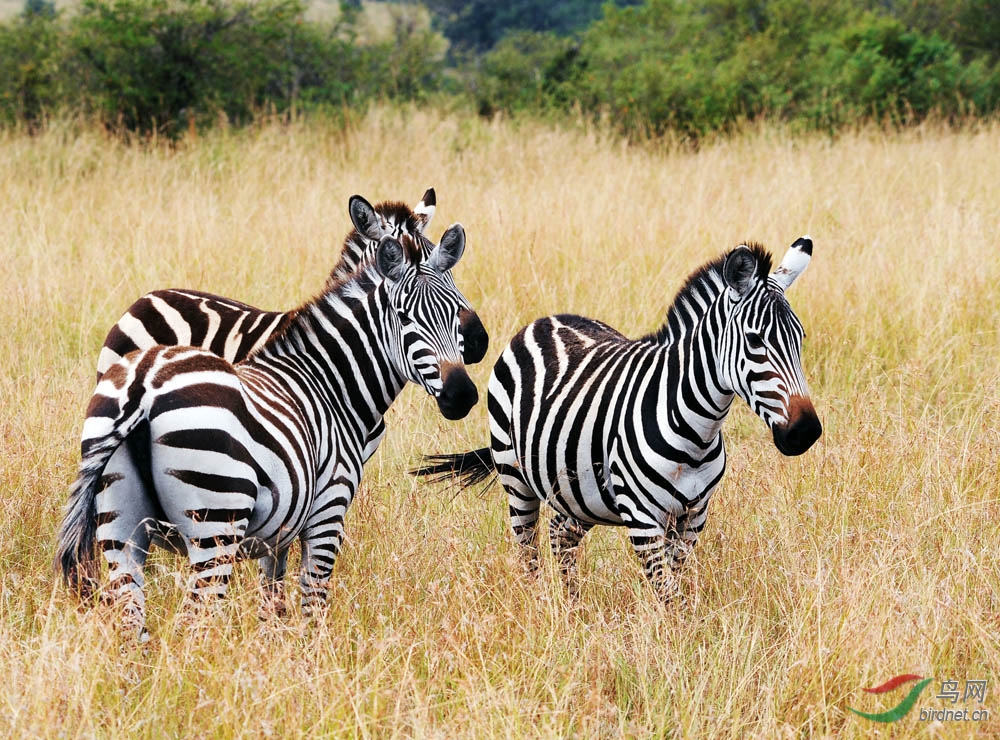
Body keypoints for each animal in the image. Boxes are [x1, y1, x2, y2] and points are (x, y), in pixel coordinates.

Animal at [57, 218, 480, 636]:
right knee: (196, 622)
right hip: (215, 523)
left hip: (120, 530)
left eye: (455, 311)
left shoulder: (280, 528)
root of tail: (143, 386)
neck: (329, 384)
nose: (462, 395)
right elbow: (313, 604)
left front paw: (270, 647)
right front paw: (312, 654)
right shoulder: (328, 510)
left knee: (133, 624)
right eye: (404, 318)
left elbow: (272, 599)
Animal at [412, 237, 820, 600]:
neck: (697, 431)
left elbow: (679, 590)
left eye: (800, 338)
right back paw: (543, 609)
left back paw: (573, 611)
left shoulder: (694, 516)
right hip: (516, 478)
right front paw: (673, 639)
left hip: (578, 490)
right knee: (528, 553)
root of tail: (546, 320)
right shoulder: (642, 518)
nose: (806, 432)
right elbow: (669, 596)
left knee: (560, 536)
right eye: (755, 341)